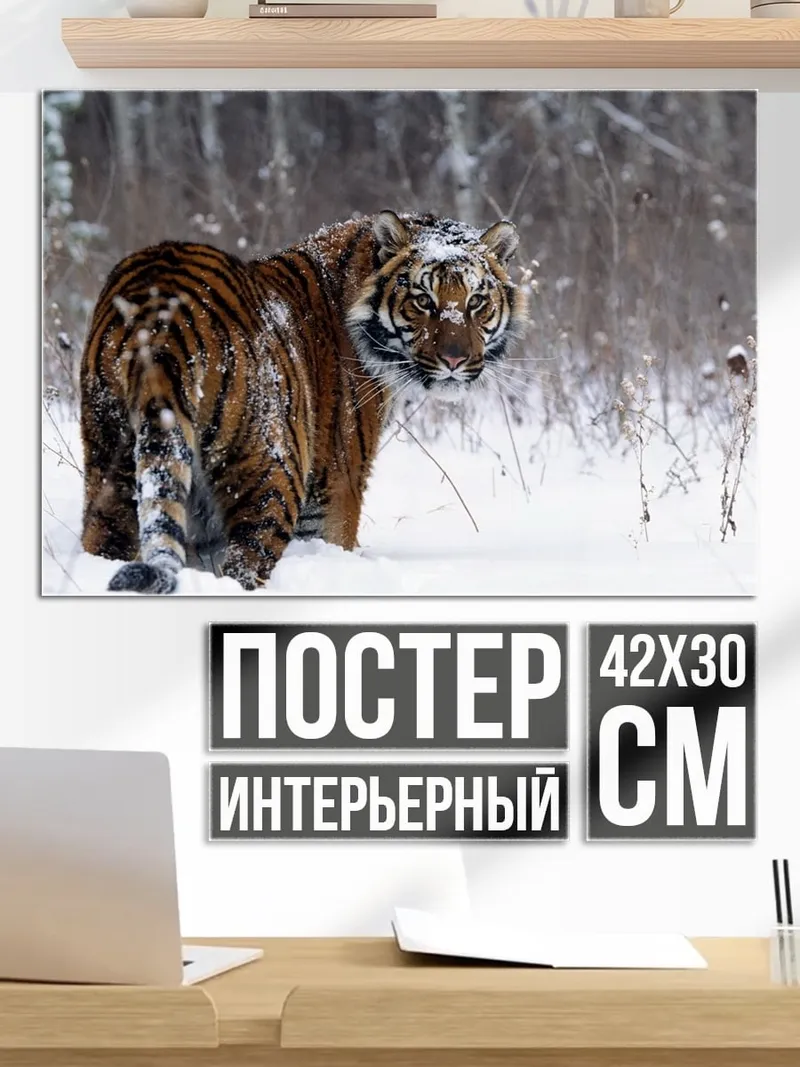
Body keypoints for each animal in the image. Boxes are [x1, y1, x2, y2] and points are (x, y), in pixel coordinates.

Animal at [79, 210, 527, 594]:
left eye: (475, 302)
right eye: (423, 301)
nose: (455, 360)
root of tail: (161, 317)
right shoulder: (337, 484)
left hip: (110, 464)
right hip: (272, 474)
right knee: (245, 565)